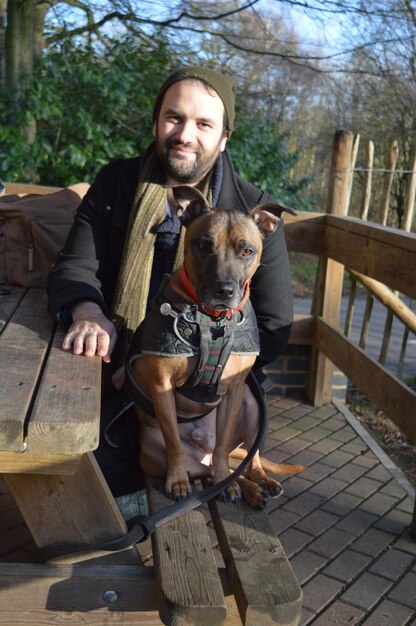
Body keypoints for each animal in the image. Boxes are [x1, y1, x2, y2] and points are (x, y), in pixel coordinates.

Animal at [125, 185, 304, 508]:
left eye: (247, 251)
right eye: (203, 244)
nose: (225, 290)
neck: (213, 320)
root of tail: (202, 450)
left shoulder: (234, 393)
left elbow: (222, 449)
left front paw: (227, 480)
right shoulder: (162, 388)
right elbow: (174, 442)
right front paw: (178, 481)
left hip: (253, 408)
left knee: (244, 460)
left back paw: (255, 483)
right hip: (152, 454)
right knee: (207, 471)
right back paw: (239, 487)